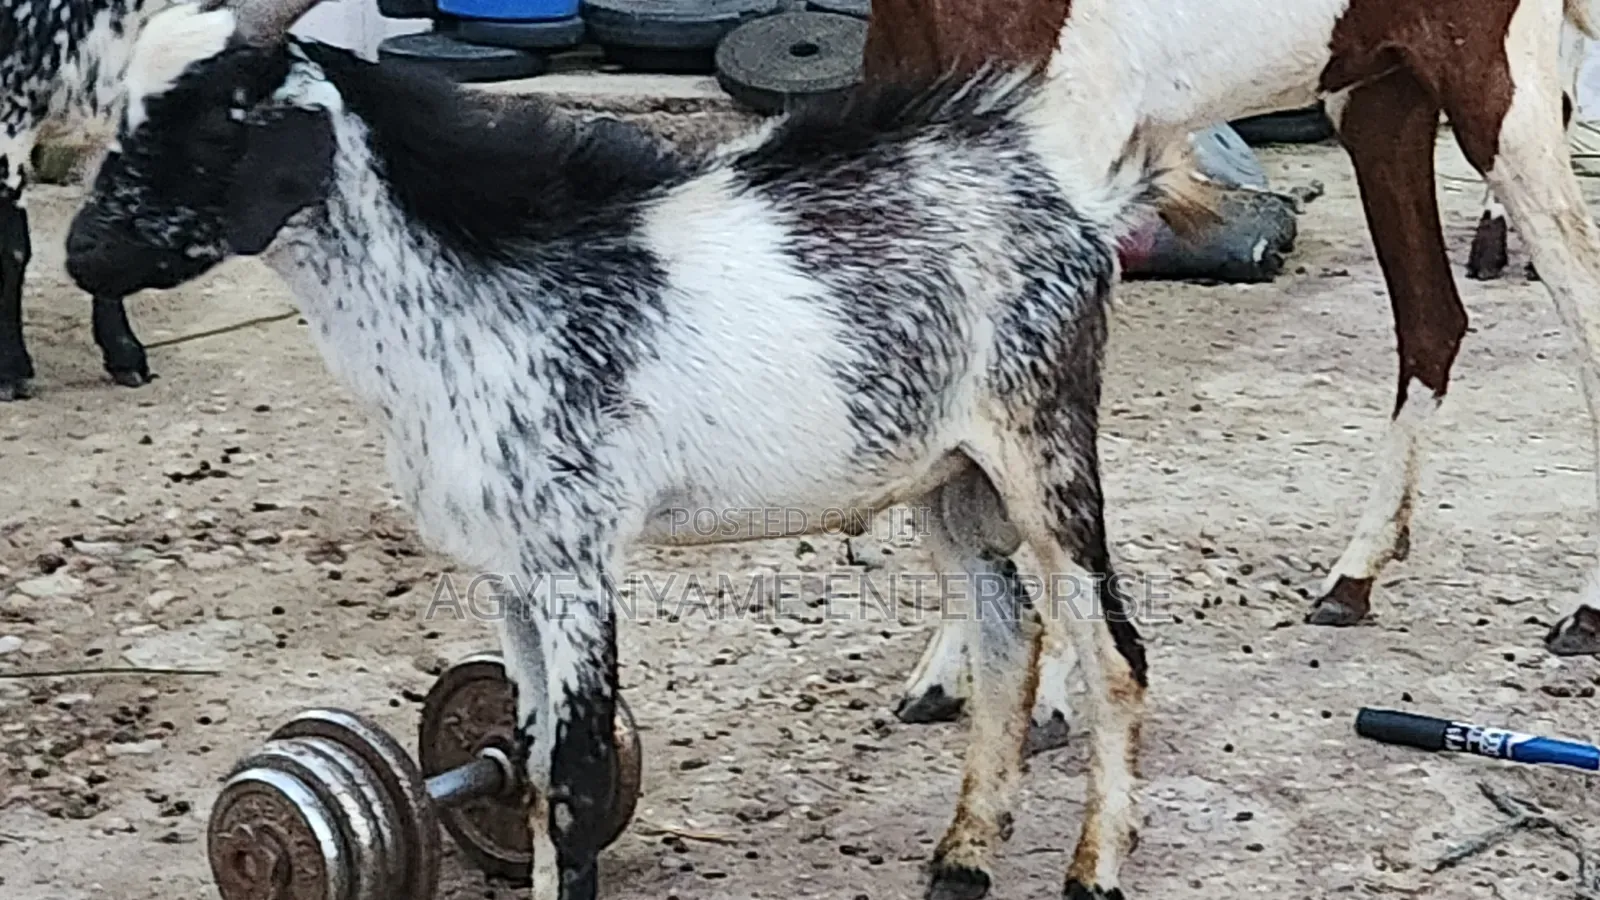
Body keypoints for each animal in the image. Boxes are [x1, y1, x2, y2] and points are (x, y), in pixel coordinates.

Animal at [62, 1, 1213, 897]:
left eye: (214, 119)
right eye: (124, 116)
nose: (85, 254)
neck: (474, 301)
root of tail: (1071, 202)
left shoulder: (574, 560)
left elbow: (572, 779)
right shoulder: (508, 574)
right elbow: (527, 765)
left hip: (1041, 437)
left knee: (1110, 648)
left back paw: (1092, 870)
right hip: (946, 476)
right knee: (1004, 634)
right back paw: (963, 858)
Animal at [862, 0, 1600, 755]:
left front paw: (1051, 699)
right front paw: (946, 672)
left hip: (1497, 95)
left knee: (1582, 311)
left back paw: (1585, 611)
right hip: (1380, 101)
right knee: (1432, 323)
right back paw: (1354, 576)